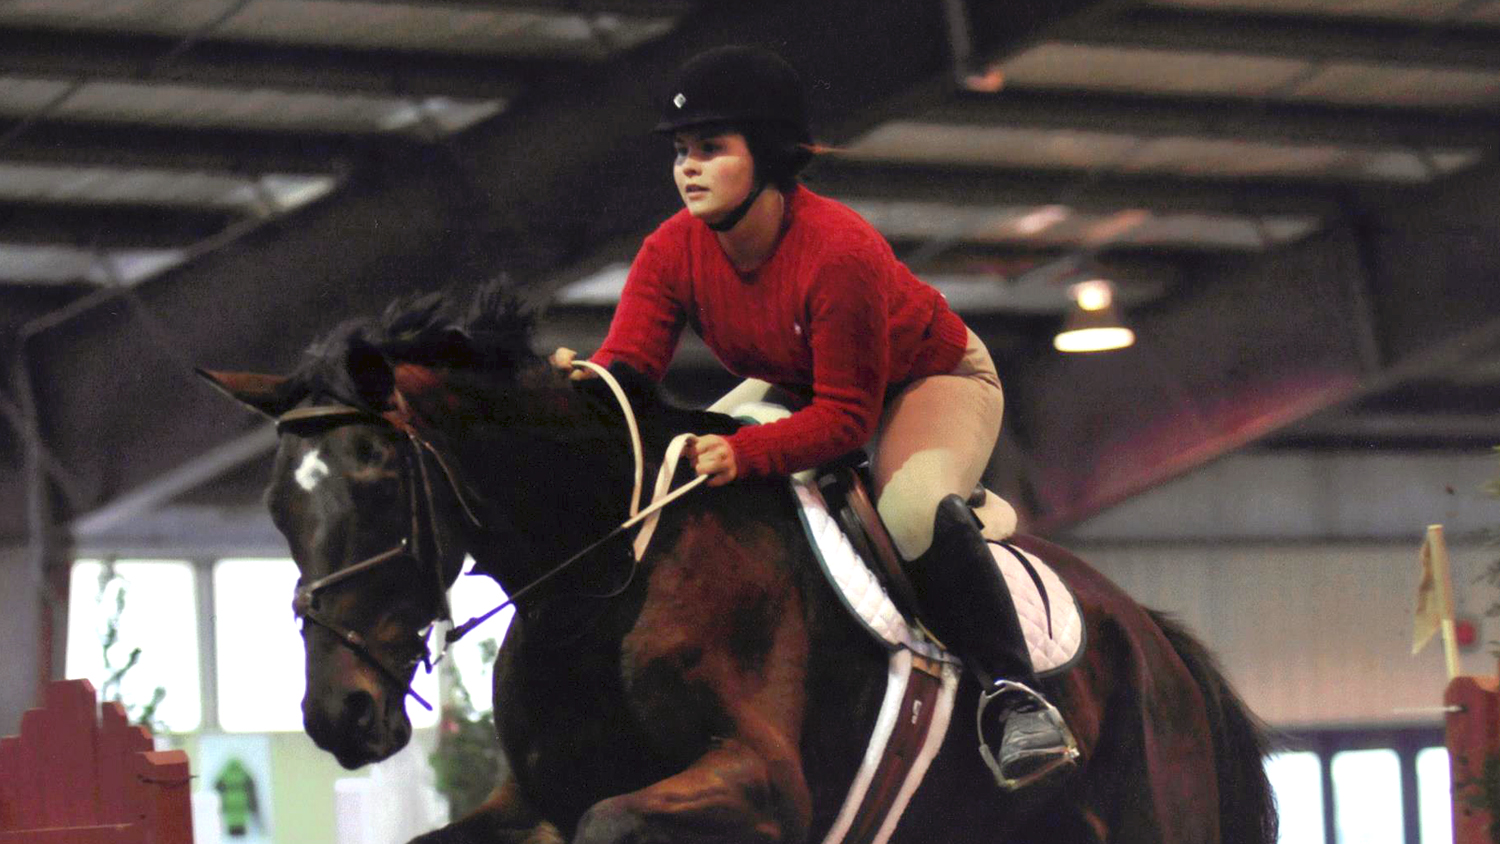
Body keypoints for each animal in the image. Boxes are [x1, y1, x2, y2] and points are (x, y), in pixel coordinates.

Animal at [199, 290, 1278, 844]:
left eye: (381, 483)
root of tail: (1153, 637)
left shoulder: (756, 786)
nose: (338, 716)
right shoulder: (530, 803)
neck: (605, 577)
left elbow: (613, 823)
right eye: (278, 507)